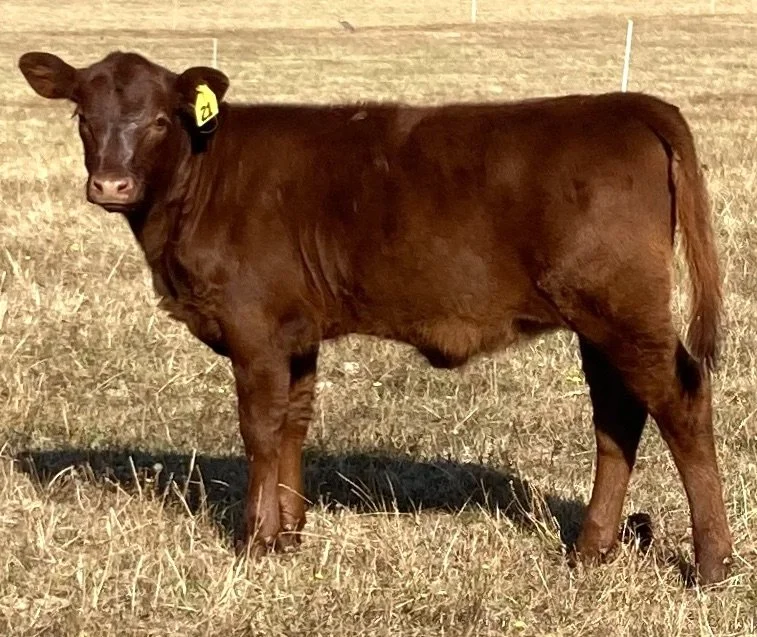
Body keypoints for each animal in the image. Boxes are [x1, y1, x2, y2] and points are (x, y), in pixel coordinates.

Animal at [18, 50, 733, 584]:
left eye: (161, 120)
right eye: (82, 113)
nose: (110, 185)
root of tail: (625, 104)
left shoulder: (254, 328)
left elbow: (258, 429)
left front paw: (252, 541)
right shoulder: (294, 331)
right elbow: (293, 423)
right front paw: (289, 533)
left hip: (625, 309)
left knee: (681, 403)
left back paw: (711, 563)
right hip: (599, 321)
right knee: (618, 416)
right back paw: (590, 549)